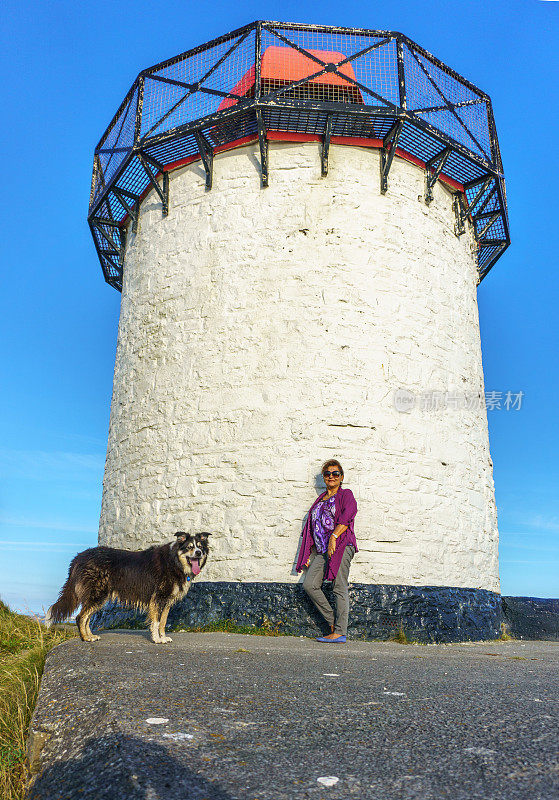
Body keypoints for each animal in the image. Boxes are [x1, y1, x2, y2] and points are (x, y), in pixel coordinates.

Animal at [46, 532, 210, 644]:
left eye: (201, 547)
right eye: (189, 547)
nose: (198, 553)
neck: (174, 561)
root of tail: (78, 557)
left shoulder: (167, 601)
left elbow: (163, 622)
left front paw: (163, 637)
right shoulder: (158, 598)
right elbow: (156, 622)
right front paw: (157, 639)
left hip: (98, 596)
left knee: (86, 617)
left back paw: (90, 635)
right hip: (98, 593)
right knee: (81, 617)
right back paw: (86, 638)